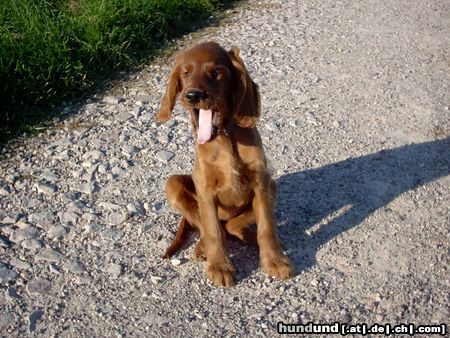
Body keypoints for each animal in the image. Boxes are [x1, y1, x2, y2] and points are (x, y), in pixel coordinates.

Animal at [156, 41, 294, 286]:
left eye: (217, 73)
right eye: (186, 73)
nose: (193, 95)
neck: (225, 137)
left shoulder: (260, 182)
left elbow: (267, 226)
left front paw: (275, 262)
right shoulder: (205, 189)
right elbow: (212, 229)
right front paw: (219, 266)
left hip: (272, 185)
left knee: (232, 226)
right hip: (172, 184)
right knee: (213, 226)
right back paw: (203, 248)